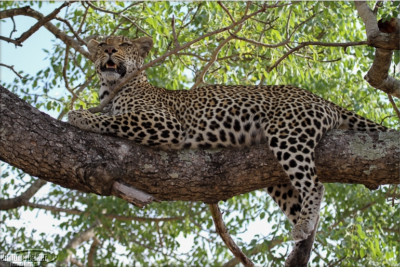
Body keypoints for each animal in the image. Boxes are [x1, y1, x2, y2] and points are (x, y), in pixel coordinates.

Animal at [68, 35, 390, 264]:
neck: (111, 91)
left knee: (315, 185)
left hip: (288, 133)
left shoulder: (165, 122)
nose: (109, 51)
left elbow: (116, 120)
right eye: (103, 44)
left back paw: (303, 226)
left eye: (124, 44)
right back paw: (303, 237)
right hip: (276, 174)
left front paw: (80, 116)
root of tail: (320, 98)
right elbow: (112, 117)